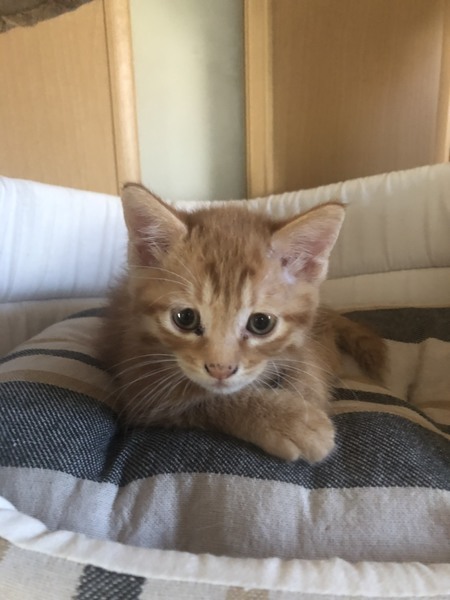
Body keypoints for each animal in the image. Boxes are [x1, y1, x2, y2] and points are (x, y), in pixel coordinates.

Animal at [97, 184, 386, 462]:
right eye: (185, 318)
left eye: (261, 323)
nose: (220, 370)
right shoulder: (141, 387)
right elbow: (207, 400)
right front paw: (289, 420)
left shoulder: (302, 342)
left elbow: (308, 364)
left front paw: (307, 395)